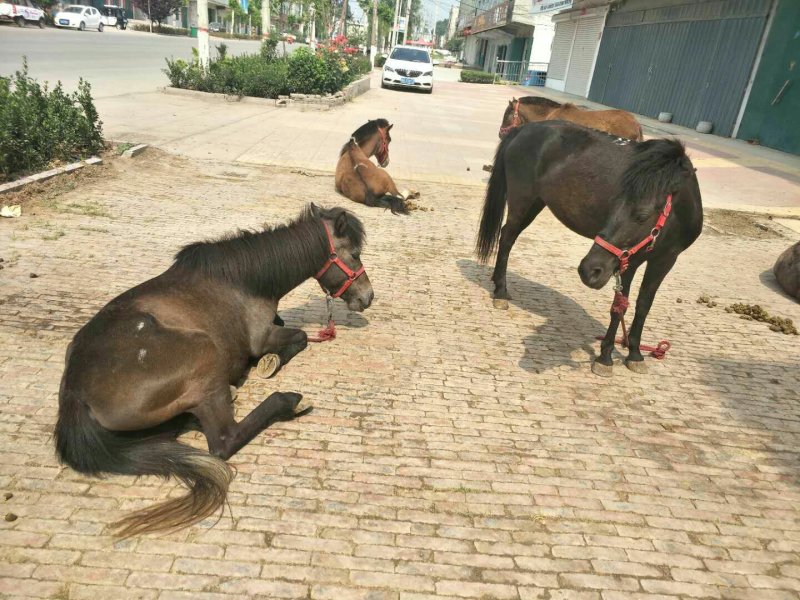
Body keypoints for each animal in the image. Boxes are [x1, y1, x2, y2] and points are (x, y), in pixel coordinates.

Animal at [55, 204, 374, 537]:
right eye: (354, 253)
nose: (367, 297)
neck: (244, 281)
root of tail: (75, 391)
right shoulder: (263, 337)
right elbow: (299, 337)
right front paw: (269, 362)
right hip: (205, 354)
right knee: (223, 440)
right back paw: (285, 400)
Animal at [476, 121, 702, 376]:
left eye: (642, 216)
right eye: (613, 204)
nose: (589, 270)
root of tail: (523, 129)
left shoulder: (664, 259)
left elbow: (644, 304)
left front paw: (635, 354)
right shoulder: (630, 261)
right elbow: (619, 306)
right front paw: (605, 357)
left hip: (536, 203)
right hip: (523, 201)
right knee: (506, 239)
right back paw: (500, 292)